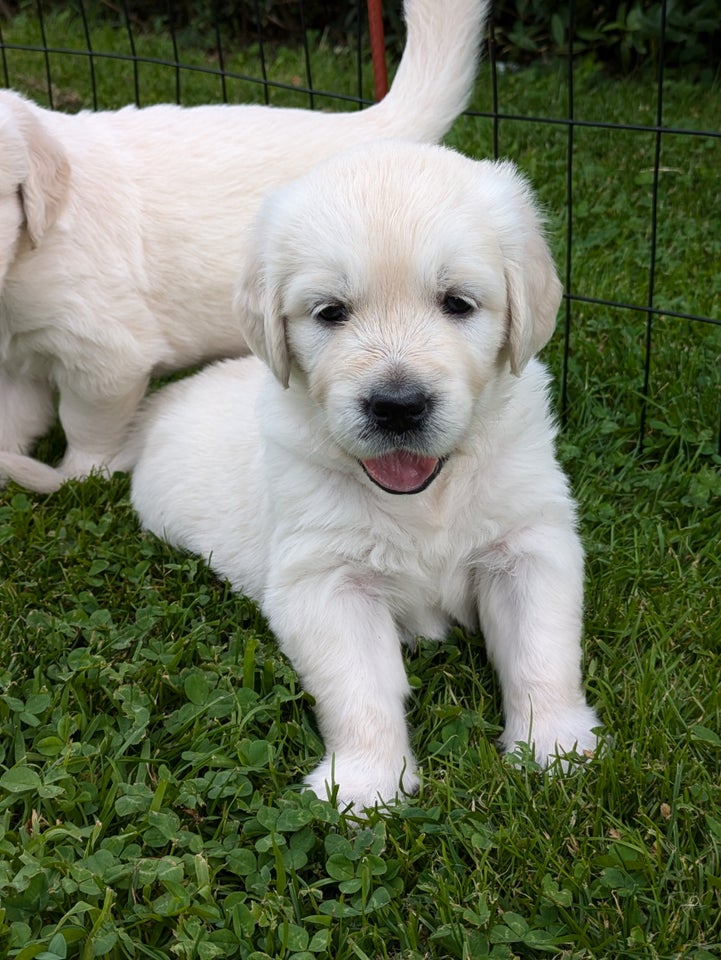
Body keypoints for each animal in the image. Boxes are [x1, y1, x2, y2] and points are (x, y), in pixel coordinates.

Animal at [0, 0, 490, 496]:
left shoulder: (103, 357)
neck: (26, 254)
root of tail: (375, 125)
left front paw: (78, 476)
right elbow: (15, 414)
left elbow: (86, 426)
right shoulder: (16, 356)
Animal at [126, 141, 600, 808]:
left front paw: (554, 746)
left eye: (457, 302)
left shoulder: (529, 543)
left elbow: (542, 651)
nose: (397, 406)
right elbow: (361, 689)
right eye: (330, 312)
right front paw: (367, 783)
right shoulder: (324, 580)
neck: (427, 494)